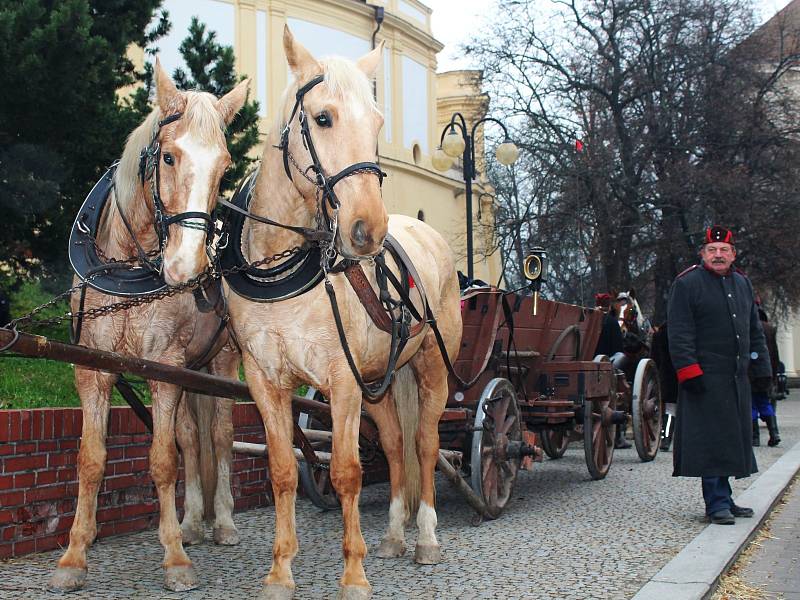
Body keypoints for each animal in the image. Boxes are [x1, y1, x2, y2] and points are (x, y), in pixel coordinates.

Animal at [48, 61, 248, 592]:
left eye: (224, 168)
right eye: (169, 157)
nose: (186, 267)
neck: (125, 267)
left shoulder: (164, 366)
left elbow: (162, 461)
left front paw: (175, 558)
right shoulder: (93, 370)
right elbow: (91, 460)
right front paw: (74, 555)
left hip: (222, 362)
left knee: (219, 436)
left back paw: (222, 523)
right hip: (191, 369)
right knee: (190, 437)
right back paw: (193, 521)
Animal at [225, 29, 462, 600]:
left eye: (377, 123)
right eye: (323, 117)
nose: (367, 229)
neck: (282, 267)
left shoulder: (342, 380)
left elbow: (348, 472)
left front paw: (353, 573)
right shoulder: (267, 380)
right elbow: (284, 471)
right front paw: (280, 571)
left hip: (431, 368)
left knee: (424, 445)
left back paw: (425, 538)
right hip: (383, 379)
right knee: (395, 447)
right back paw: (395, 535)